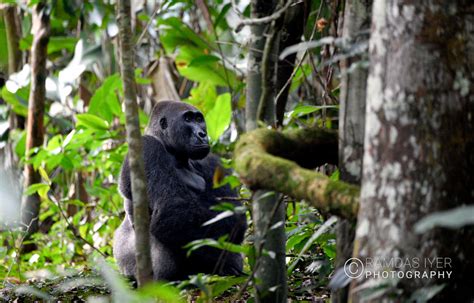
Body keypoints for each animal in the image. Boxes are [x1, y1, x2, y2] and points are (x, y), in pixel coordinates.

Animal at [114, 101, 248, 282]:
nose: (202, 134)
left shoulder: (210, 162)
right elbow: (173, 211)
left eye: (199, 119)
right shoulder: (147, 147)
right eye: (188, 119)